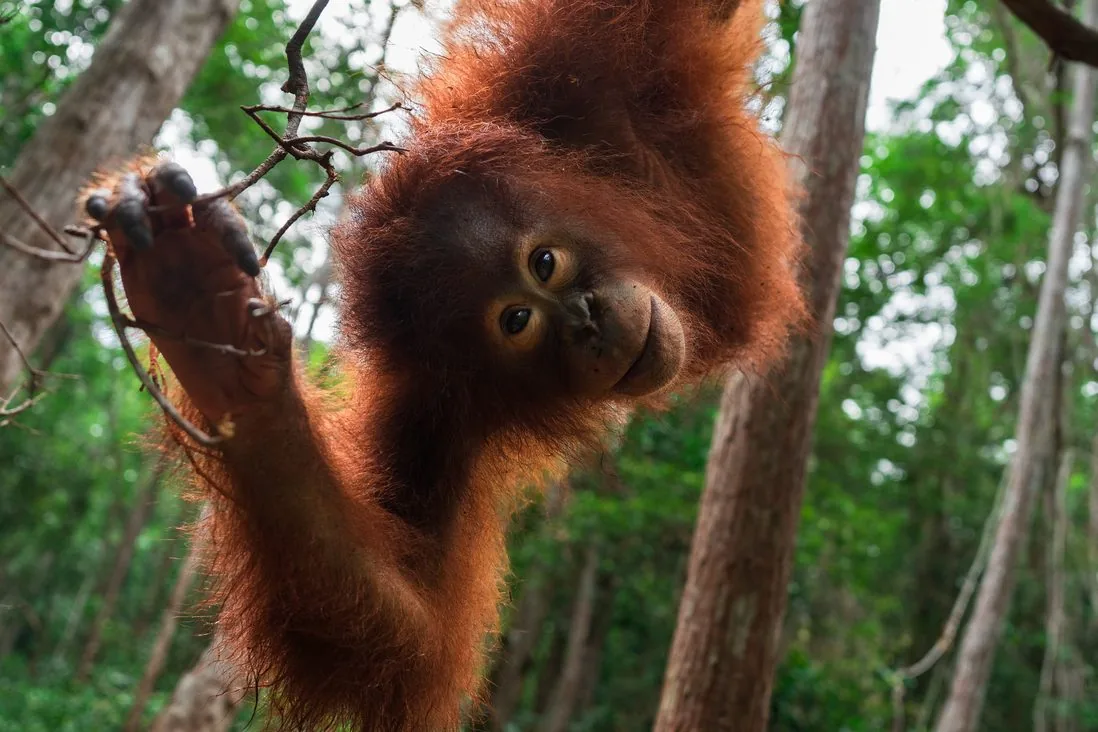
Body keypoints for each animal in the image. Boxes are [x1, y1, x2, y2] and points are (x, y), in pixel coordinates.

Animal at [85, 0, 805, 729]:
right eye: (516, 321)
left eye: (545, 261)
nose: (588, 323)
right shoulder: (428, 415)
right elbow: (409, 626)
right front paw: (216, 345)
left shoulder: (573, 71)